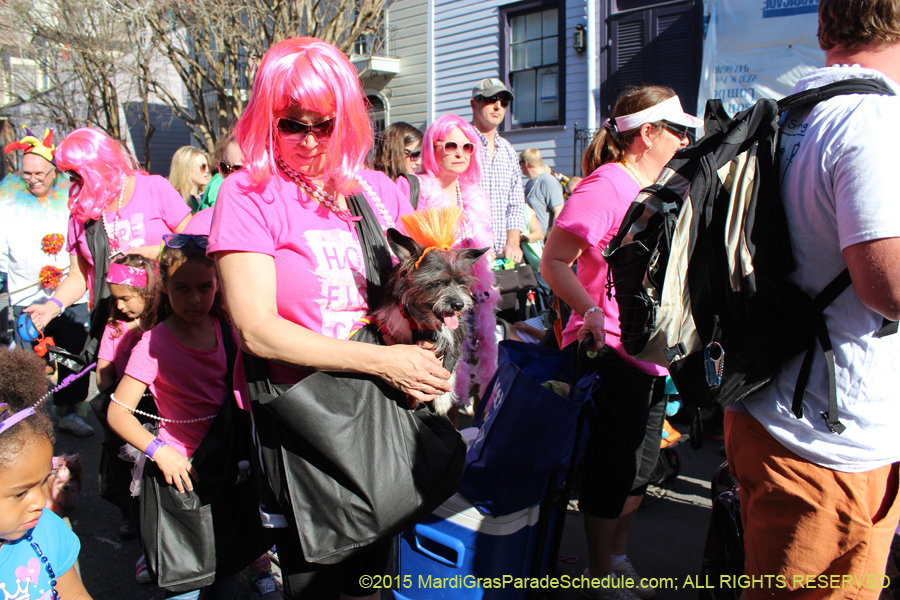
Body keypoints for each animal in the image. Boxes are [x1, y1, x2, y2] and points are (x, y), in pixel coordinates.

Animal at [370, 227, 488, 414]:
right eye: (438, 282)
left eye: (462, 281)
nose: (459, 305)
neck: (421, 318)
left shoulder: (454, 338)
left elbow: (447, 369)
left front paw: (442, 399)